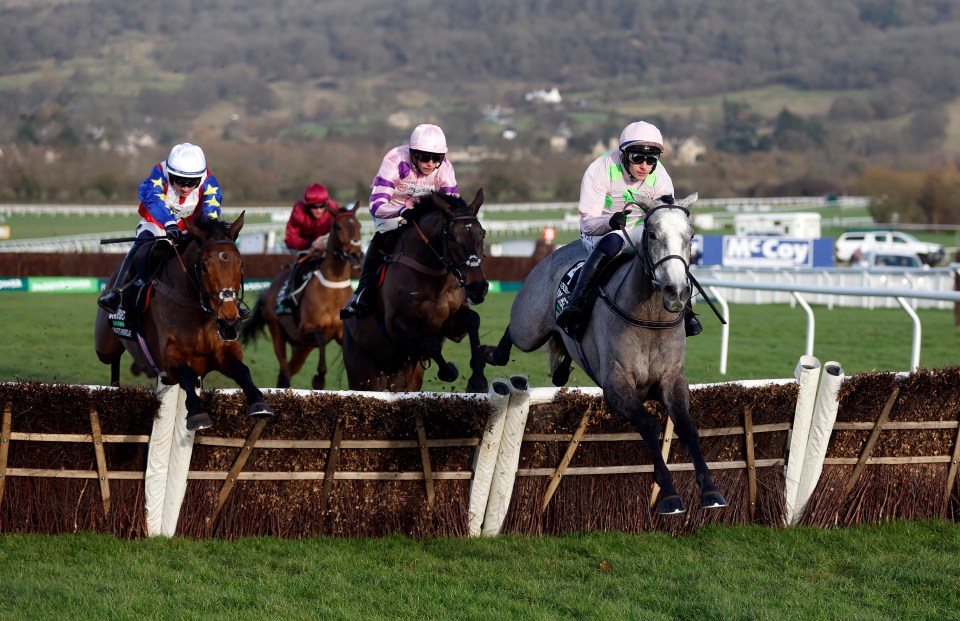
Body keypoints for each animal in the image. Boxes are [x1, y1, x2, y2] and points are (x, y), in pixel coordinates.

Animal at [94, 213, 274, 432]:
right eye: (203, 266)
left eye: (240, 264)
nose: (229, 319)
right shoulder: (170, 356)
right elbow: (187, 374)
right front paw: (197, 413)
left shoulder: (224, 350)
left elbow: (242, 369)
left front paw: (259, 402)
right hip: (104, 347)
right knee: (112, 358)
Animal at [239, 202, 364, 388]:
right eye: (338, 227)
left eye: (358, 226)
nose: (357, 256)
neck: (334, 289)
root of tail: (269, 288)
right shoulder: (306, 329)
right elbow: (321, 338)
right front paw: (319, 378)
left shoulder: (340, 334)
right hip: (278, 331)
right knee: (285, 370)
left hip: (302, 347)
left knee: (287, 371)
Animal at [344, 190, 492, 392]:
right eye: (452, 237)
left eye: (482, 234)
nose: (477, 287)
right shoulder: (396, 327)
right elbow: (432, 344)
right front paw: (448, 371)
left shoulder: (452, 326)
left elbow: (472, 320)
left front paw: (478, 380)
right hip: (364, 375)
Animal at [484, 193, 724, 512]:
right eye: (652, 234)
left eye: (691, 235)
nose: (676, 292)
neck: (651, 319)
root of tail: (555, 251)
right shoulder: (616, 384)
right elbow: (648, 425)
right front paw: (669, 494)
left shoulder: (672, 378)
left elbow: (687, 427)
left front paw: (710, 489)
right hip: (528, 328)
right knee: (515, 329)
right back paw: (493, 354)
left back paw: (562, 369)